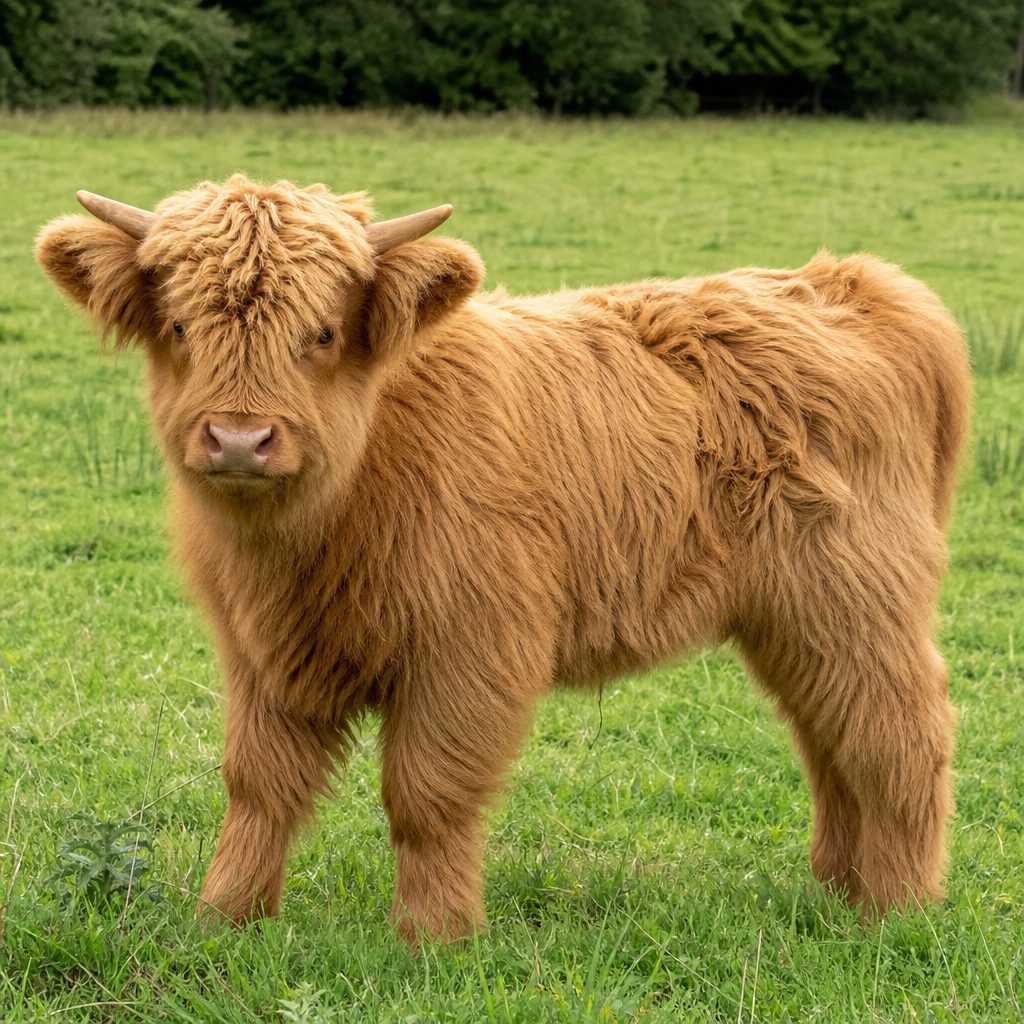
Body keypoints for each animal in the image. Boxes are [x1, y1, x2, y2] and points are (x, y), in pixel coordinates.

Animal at [36, 175, 971, 944]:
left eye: (323, 332)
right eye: (179, 326)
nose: (238, 438)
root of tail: (857, 284)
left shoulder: (470, 647)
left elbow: (426, 795)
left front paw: (433, 938)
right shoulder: (261, 651)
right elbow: (257, 784)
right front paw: (223, 920)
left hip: (853, 595)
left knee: (896, 732)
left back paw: (896, 910)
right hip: (791, 617)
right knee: (829, 733)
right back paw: (838, 890)